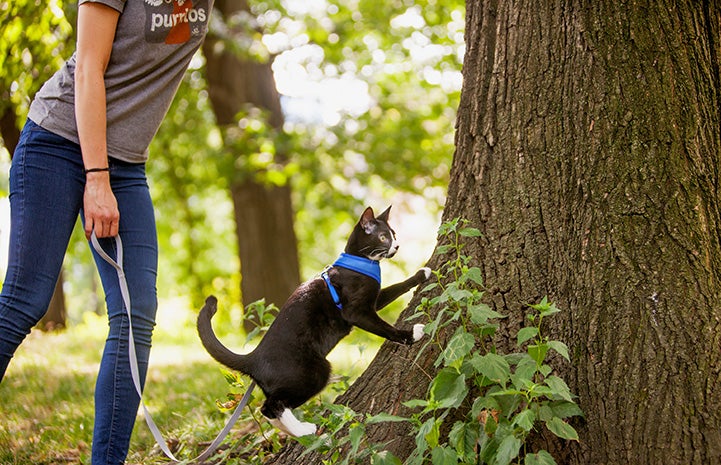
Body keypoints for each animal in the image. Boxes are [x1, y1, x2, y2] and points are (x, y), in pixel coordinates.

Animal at [197, 206, 430, 436]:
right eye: (383, 237)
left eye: (394, 234)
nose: (397, 245)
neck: (360, 262)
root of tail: (254, 357)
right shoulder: (357, 312)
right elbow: (385, 328)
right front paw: (412, 334)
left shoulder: (375, 300)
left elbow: (397, 287)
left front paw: (422, 273)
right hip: (314, 371)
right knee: (271, 406)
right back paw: (303, 430)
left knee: (268, 411)